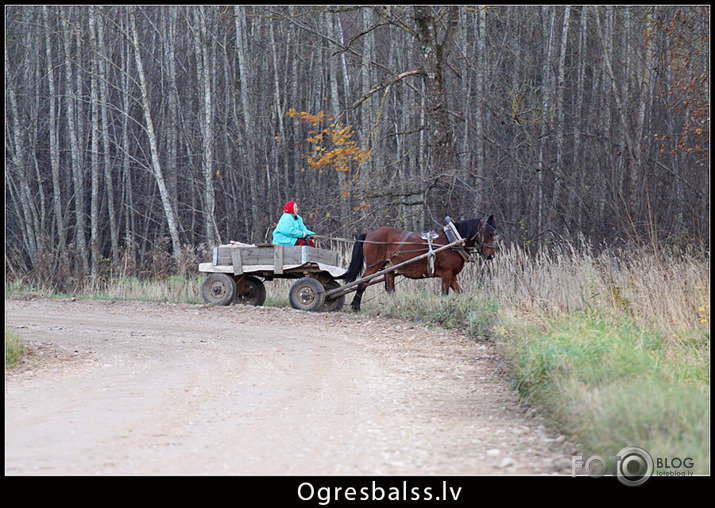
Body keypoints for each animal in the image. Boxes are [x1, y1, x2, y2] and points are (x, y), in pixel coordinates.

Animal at [342, 215, 498, 312]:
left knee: (390, 289)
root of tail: (369, 233)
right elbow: (444, 293)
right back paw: (356, 307)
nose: (491, 255)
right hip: (373, 266)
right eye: (489, 233)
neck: (453, 241)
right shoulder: (447, 274)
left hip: (389, 268)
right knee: (363, 283)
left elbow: (460, 292)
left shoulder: (453, 276)